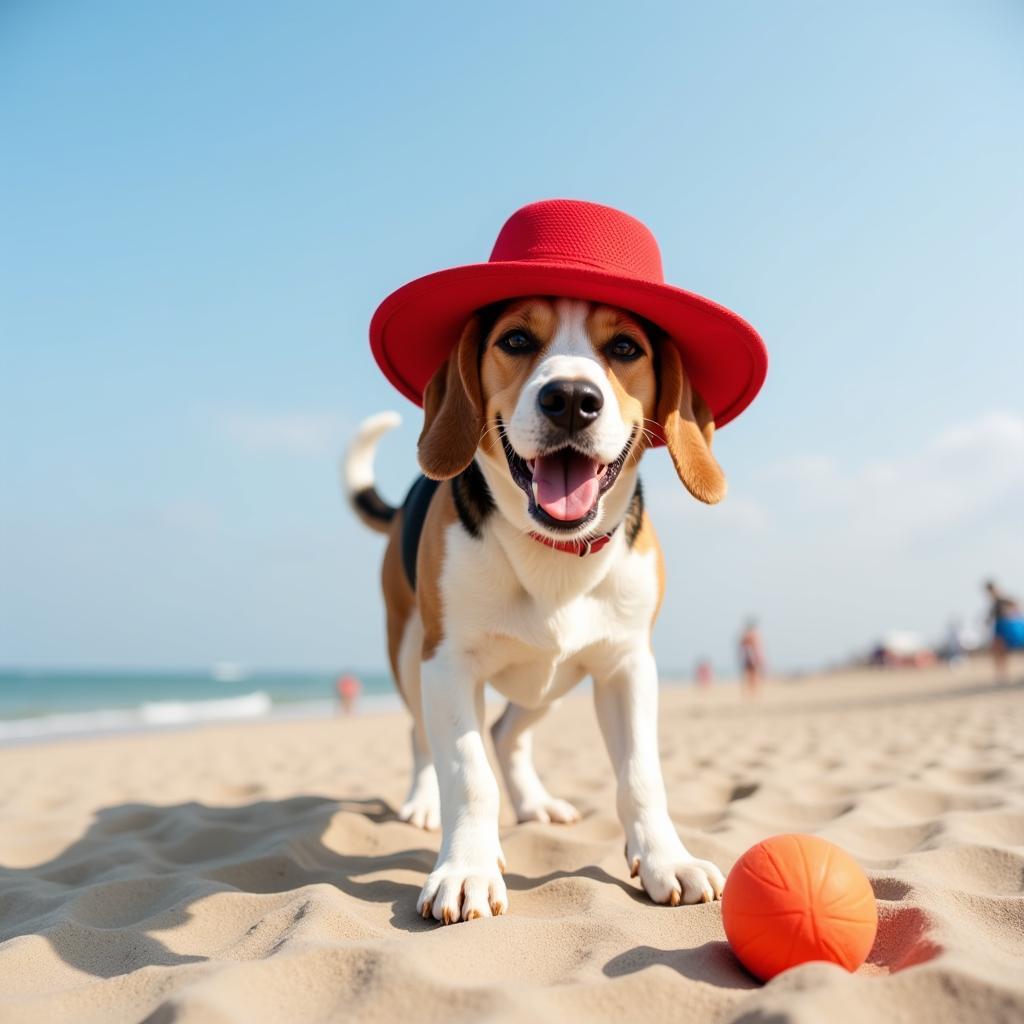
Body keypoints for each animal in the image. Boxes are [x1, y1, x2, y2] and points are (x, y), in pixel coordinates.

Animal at [346, 294, 729, 921]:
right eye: (517, 340)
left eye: (625, 347)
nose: (571, 399)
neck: (554, 553)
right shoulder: (447, 666)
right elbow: (468, 772)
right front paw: (467, 869)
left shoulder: (627, 667)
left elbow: (641, 775)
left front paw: (666, 859)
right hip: (408, 653)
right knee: (422, 736)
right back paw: (423, 802)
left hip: (555, 679)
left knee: (508, 732)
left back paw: (534, 804)